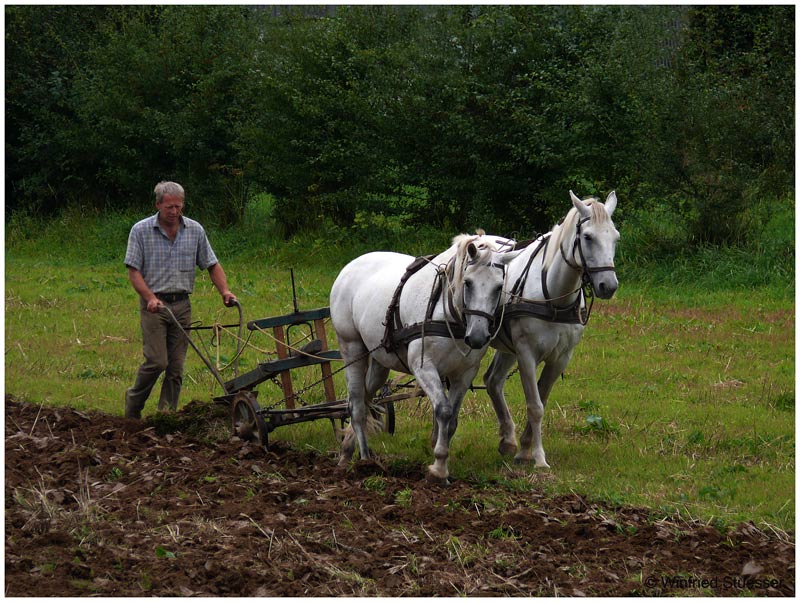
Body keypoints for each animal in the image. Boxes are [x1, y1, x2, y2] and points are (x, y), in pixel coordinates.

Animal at [330, 232, 520, 480]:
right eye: (467, 282)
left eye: (499, 287)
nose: (478, 337)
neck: (448, 312)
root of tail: (349, 267)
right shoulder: (424, 367)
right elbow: (444, 411)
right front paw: (438, 467)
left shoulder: (464, 373)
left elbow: (452, 420)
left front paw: (441, 461)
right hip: (352, 347)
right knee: (357, 407)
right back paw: (364, 460)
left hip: (379, 361)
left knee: (365, 397)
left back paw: (346, 451)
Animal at [482, 190, 620, 466]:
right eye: (587, 237)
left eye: (615, 237)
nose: (608, 286)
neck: (553, 297)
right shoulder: (526, 354)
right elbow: (534, 405)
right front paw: (539, 458)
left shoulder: (561, 357)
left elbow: (542, 400)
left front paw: (525, 449)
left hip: (507, 347)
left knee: (493, 381)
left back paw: (508, 440)